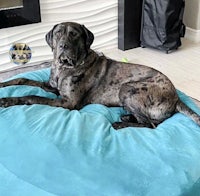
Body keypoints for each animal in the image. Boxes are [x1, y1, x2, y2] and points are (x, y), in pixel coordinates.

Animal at [0, 21, 200, 129]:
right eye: (57, 34)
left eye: (74, 35)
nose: (63, 46)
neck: (64, 67)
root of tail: (175, 96)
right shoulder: (52, 87)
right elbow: (23, 79)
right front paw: (4, 85)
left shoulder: (68, 102)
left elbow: (32, 97)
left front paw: (8, 100)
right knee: (151, 121)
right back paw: (126, 117)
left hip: (128, 88)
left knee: (149, 124)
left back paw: (120, 124)